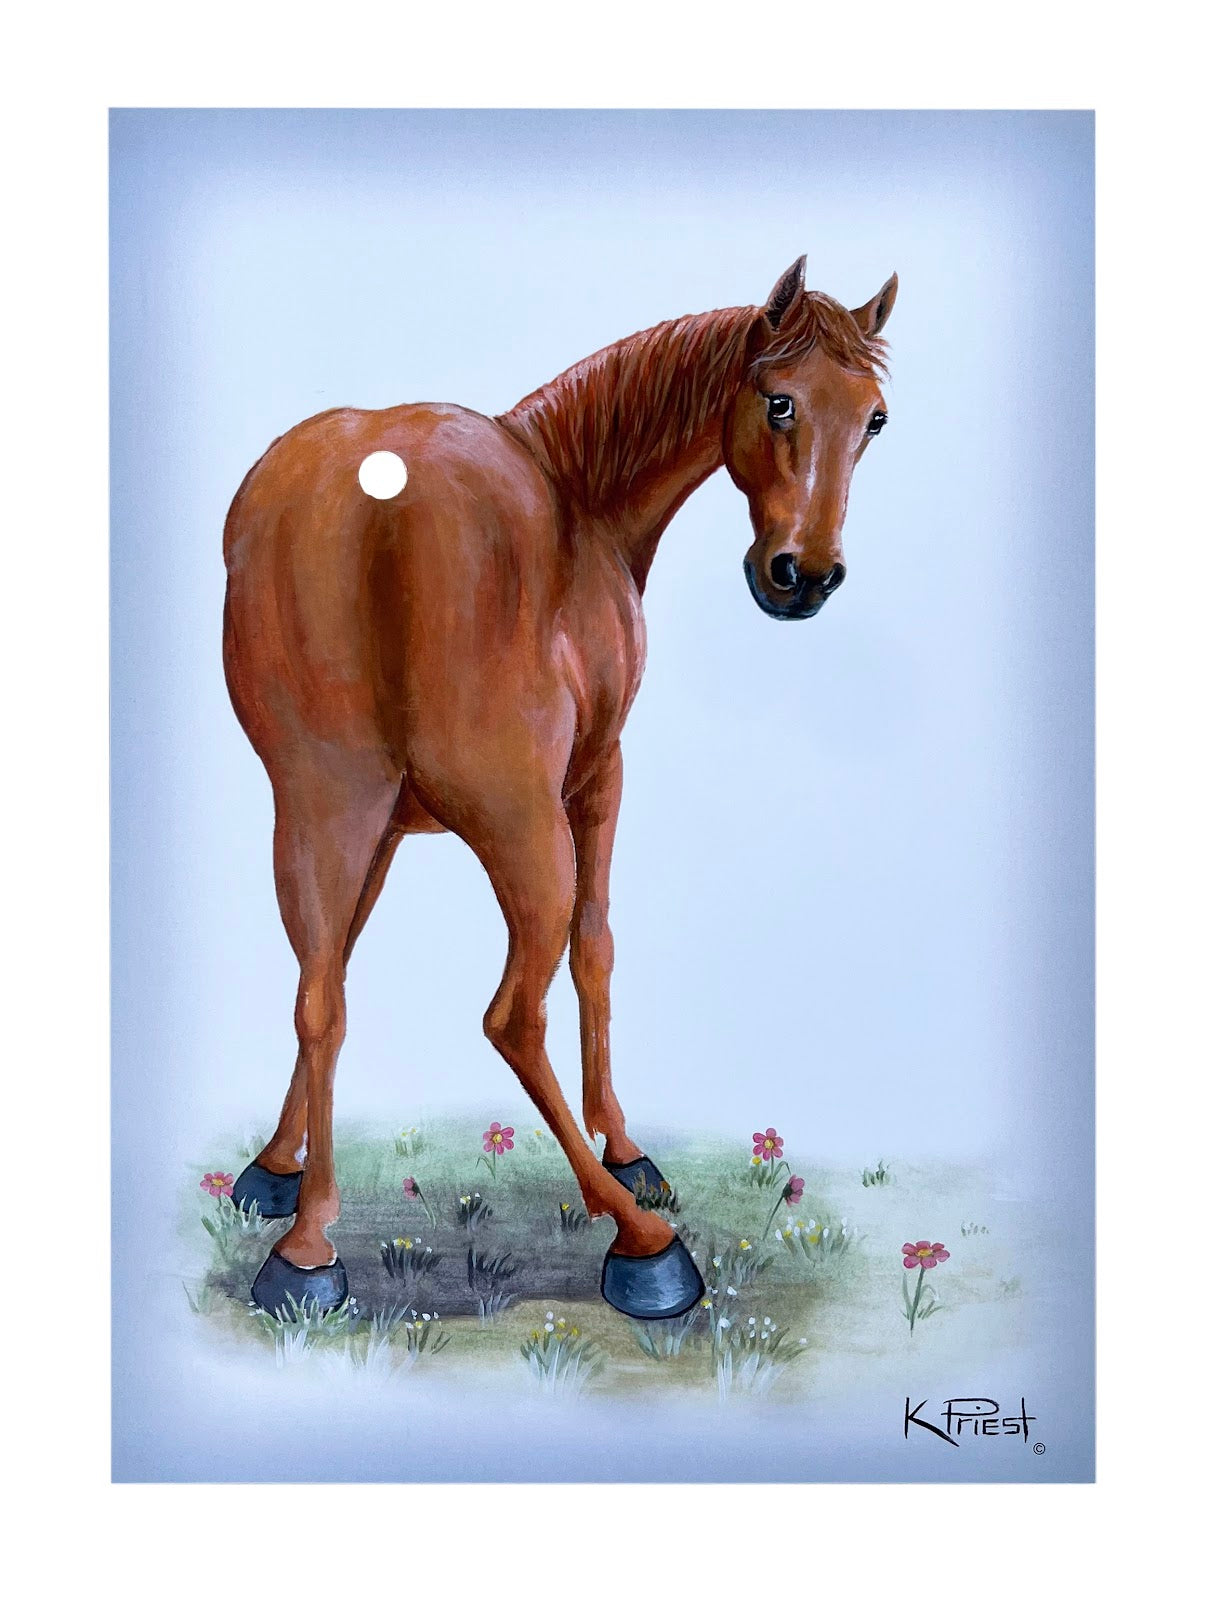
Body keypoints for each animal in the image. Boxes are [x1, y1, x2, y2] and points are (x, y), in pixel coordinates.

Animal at [223, 254, 897, 1321]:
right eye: (780, 400)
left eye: (874, 419)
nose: (806, 576)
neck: (577, 494)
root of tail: (375, 499)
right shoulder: (598, 777)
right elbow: (597, 952)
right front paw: (626, 1156)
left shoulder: (380, 828)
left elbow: (330, 979)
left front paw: (280, 1171)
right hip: (519, 828)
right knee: (513, 1013)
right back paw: (642, 1245)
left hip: (321, 803)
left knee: (321, 989)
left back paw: (307, 1252)